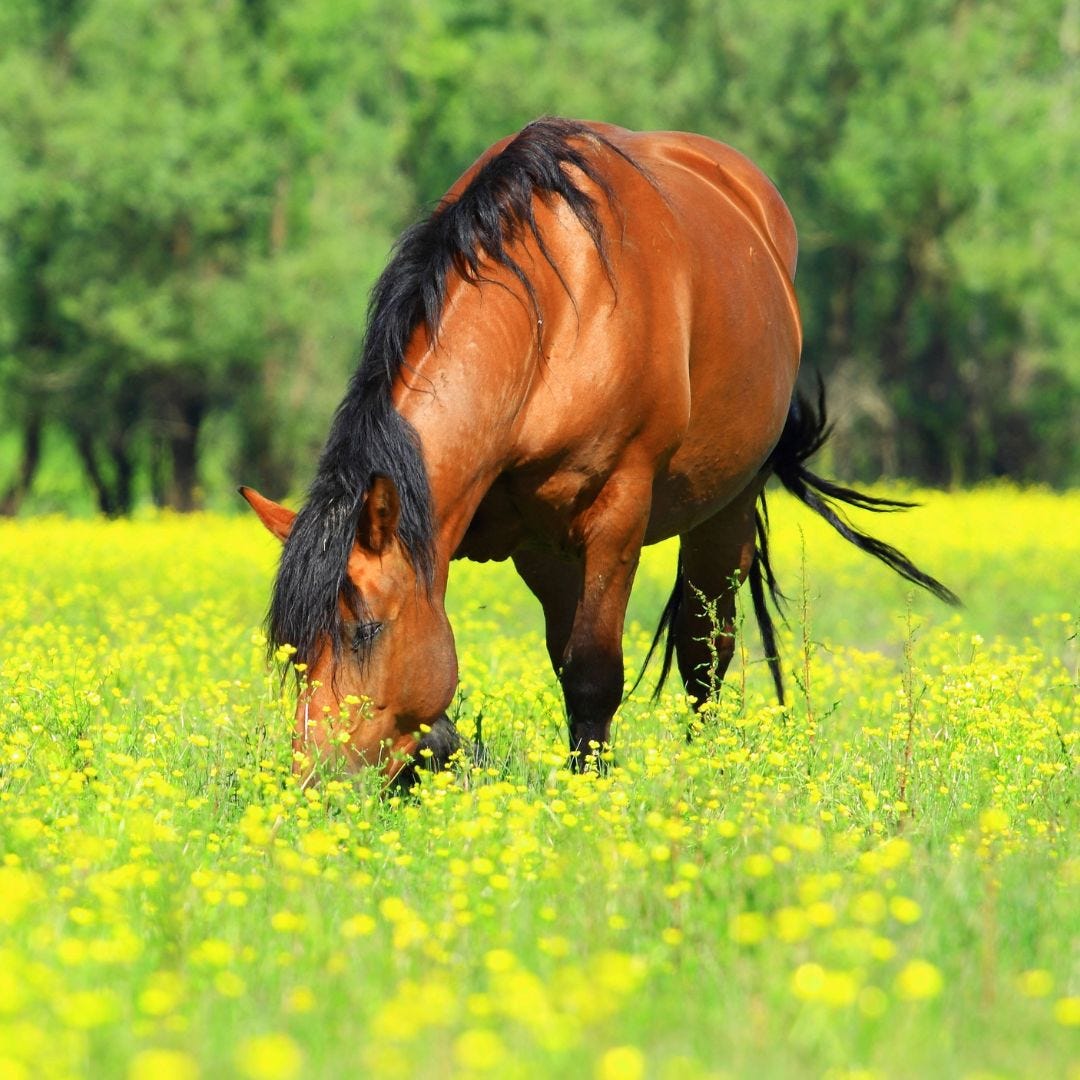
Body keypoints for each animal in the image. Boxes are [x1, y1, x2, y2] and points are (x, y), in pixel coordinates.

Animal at [240, 116, 959, 786]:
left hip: (724, 509)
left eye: (366, 629)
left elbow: (592, 674)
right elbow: (524, 680)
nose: (315, 780)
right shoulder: (530, 542)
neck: (552, 323)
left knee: (706, 654)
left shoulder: (613, 517)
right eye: (294, 648)